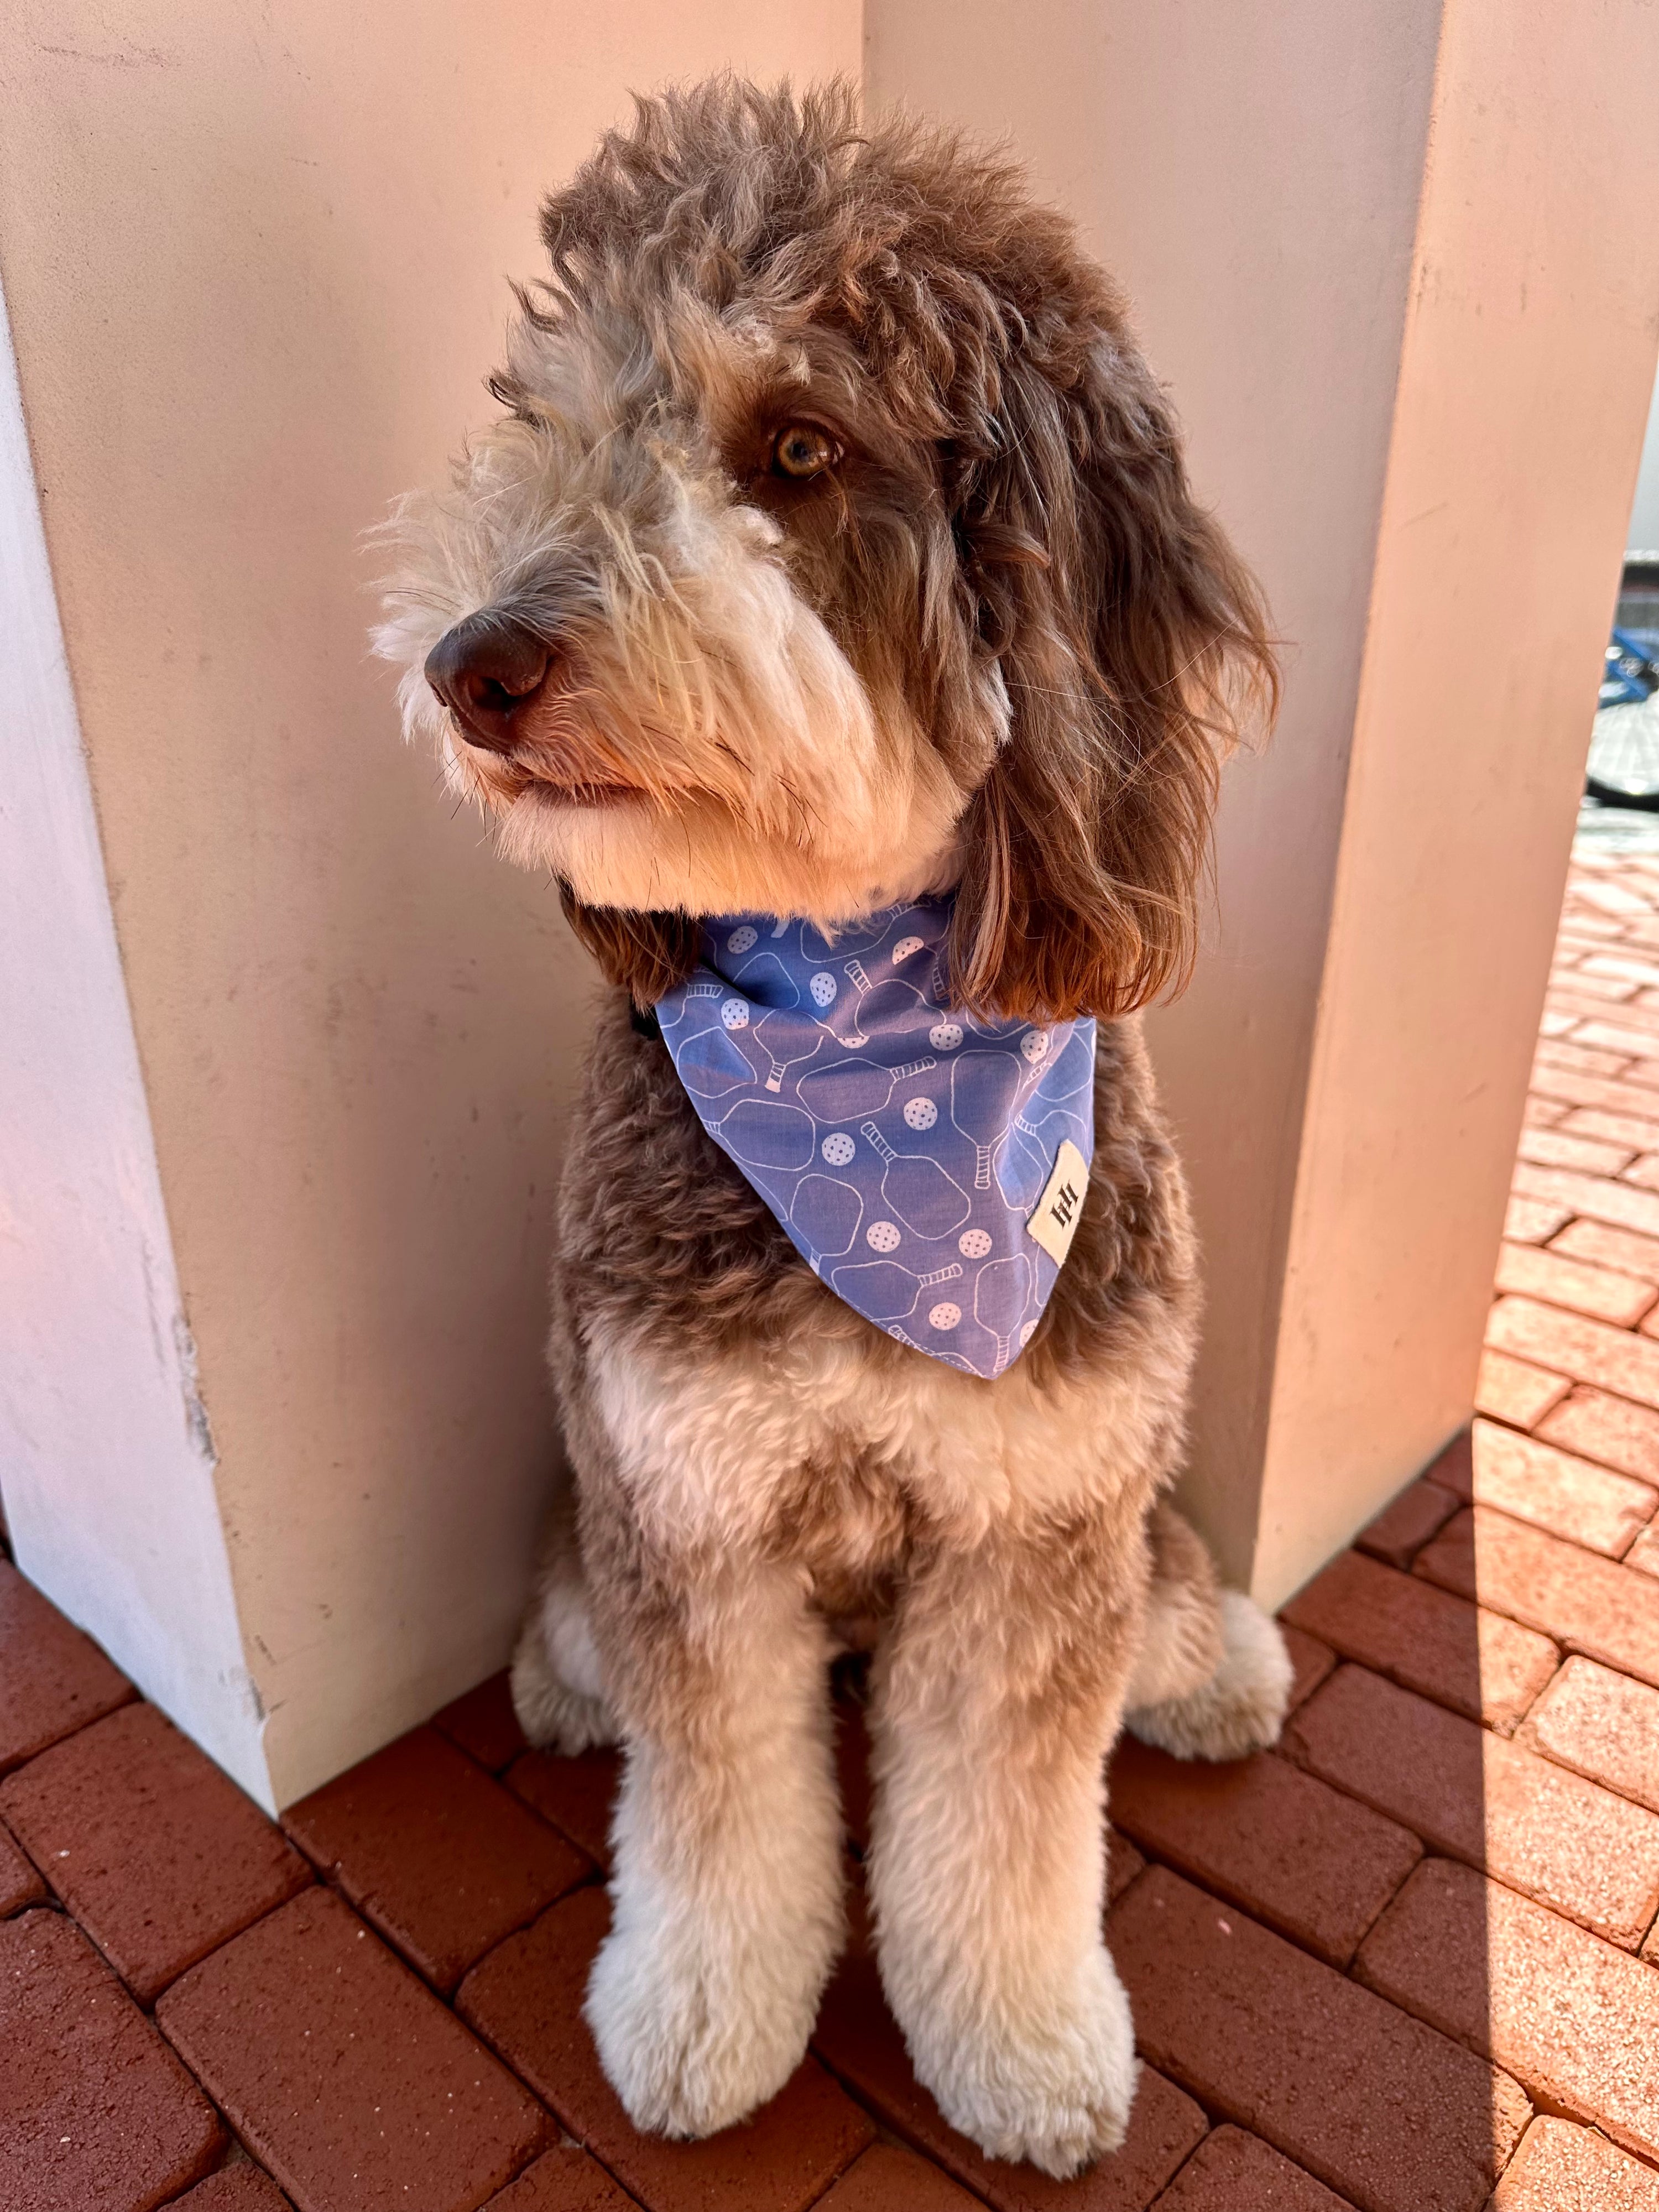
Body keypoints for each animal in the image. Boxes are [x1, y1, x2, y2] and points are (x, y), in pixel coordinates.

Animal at [376, 82, 1283, 2177]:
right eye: (546, 420)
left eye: (794, 446)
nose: (470, 663)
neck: (869, 1090)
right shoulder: (686, 1509)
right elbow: (718, 1804)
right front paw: (702, 2022)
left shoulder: (1043, 1524)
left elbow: (1010, 1823)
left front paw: (1020, 2046)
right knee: (588, 1648)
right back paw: (554, 1685)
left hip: (1129, 1532)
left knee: (1170, 1619)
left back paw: (1229, 1669)